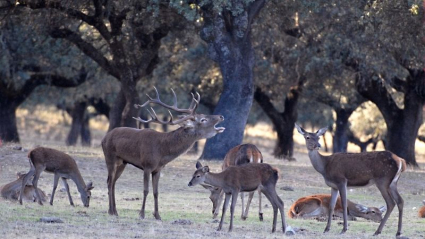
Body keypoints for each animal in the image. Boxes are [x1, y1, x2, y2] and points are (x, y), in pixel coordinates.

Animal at [101, 88, 225, 220]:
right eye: (203, 119)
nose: (221, 116)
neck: (162, 152)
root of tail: (104, 138)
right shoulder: (147, 165)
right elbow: (146, 190)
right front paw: (142, 214)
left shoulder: (158, 169)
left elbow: (156, 192)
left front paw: (157, 215)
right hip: (109, 157)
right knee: (109, 182)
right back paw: (110, 211)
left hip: (122, 162)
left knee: (113, 182)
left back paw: (115, 211)